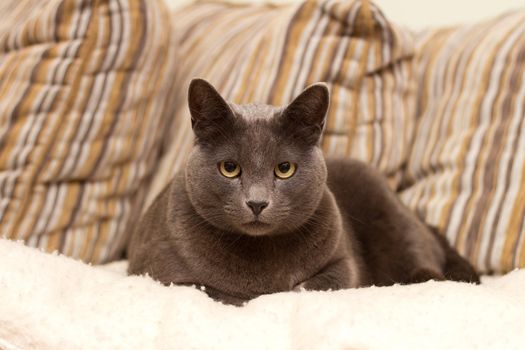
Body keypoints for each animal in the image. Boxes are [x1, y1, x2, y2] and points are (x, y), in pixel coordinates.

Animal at [128, 78, 478, 304]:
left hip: (389, 212)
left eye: (285, 168)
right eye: (229, 168)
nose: (257, 202)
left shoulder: (343, 265)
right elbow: (216, 291)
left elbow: (309, 287)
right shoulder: (162, 274)